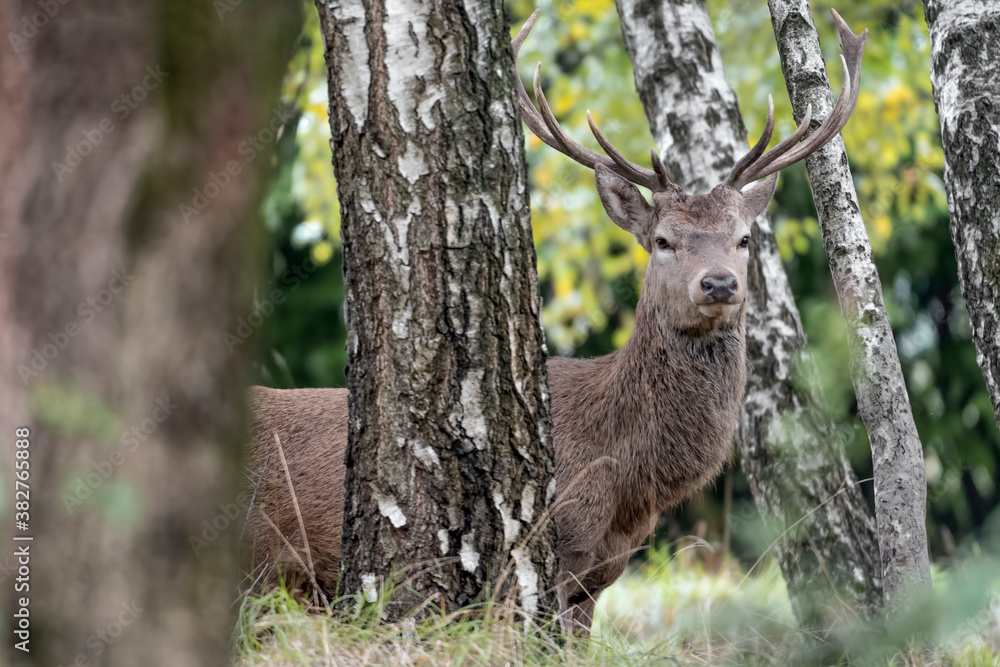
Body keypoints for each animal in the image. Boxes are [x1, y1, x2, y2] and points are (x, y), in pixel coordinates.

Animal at [246, 8, 866, 636]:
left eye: (743, 238)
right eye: (663, 241)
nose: (718, 283)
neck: (628, 479)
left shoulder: (600, 575)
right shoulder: (556, 547)